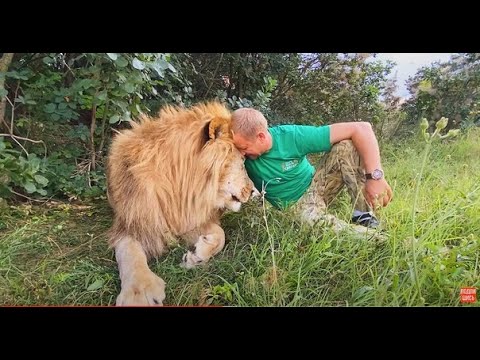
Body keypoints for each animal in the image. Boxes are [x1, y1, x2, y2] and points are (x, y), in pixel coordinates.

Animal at [105, 102, 258, 306]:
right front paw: (140, 291)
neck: (180, 189)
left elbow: (221, 234)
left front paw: (197, 256)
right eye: (242, 162)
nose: (253, 190)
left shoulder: (190, 217)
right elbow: (130, 252)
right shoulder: (132, 222)